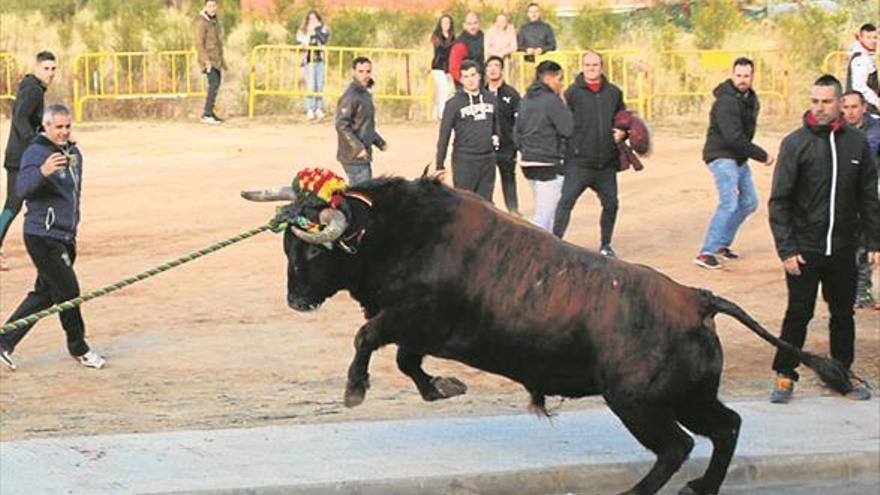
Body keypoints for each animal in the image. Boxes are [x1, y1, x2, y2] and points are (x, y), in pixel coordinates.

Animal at [241, 177, 852, 495]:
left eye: (309, 251)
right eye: (286, 246)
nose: (296, 300)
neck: (402, 231)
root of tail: (695, 298)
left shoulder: (408, 318)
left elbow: (367, 340)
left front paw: (355, 390)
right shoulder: (423, 333)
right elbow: (408, 364)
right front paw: (444, 388)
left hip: (639, 403)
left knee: (678, 446)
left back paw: (640, 493)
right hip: (688, 397)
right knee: (725, 427)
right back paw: (700, 488)